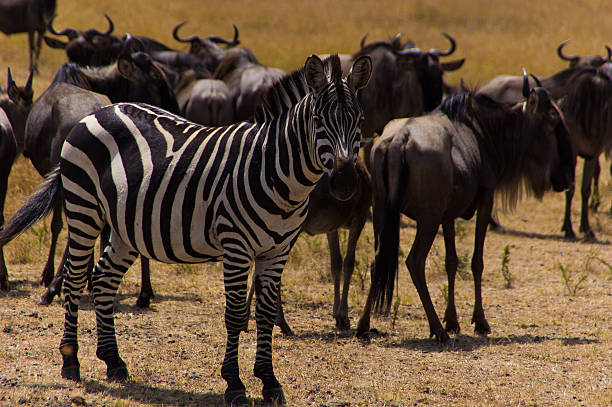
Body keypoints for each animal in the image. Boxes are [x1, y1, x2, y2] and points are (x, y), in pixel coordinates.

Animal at [0, 53, 372, 404]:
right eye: (318, 122)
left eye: (360, 121)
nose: (345, 181)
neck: (273, 170)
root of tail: (101, 110)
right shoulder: (236, 247)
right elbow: (235, 315)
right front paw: (234, 384)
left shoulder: (277, 251)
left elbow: (266, 314)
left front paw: (269, 382)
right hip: (84, 208)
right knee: (77, 279)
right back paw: (71, 361)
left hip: (125, 227)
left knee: (103, 279)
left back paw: (113, 361)